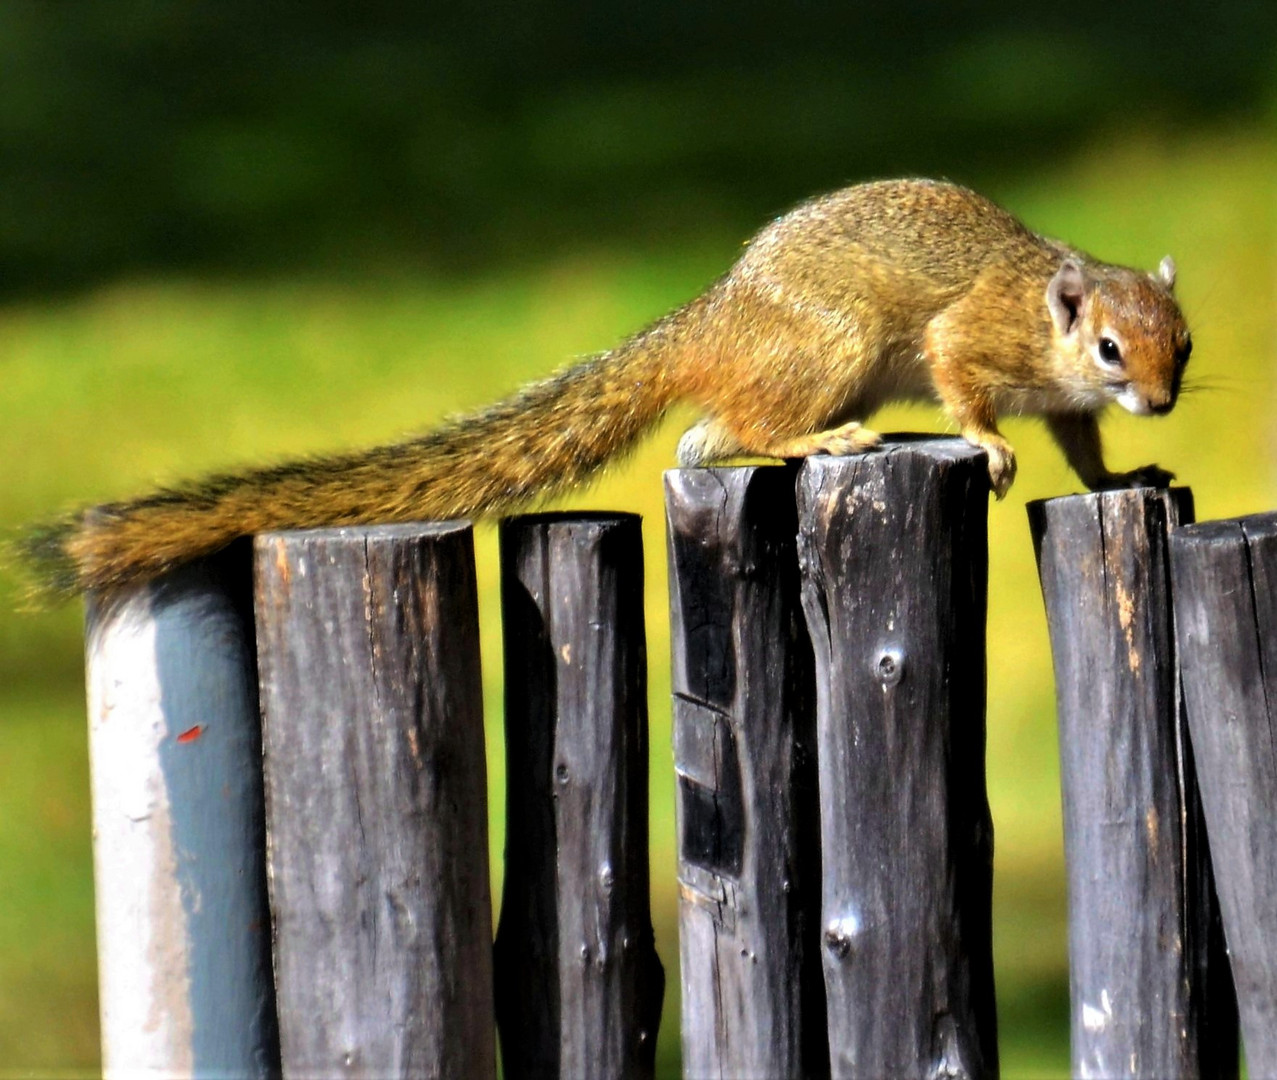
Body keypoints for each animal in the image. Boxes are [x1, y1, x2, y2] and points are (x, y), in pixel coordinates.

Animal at [27, 180, 1185, 600]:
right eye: (1111, 349)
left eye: (1179, 342)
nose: (1163, 402)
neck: (1042, 315)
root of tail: (712, 318)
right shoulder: (964, 341)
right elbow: (966, 394)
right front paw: (990, 450)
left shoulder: (1069, 408)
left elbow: (1085, 453)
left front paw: (1122, 473)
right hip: (830, 350)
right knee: (724, 435)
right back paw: (818, 443)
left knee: (700, 445)